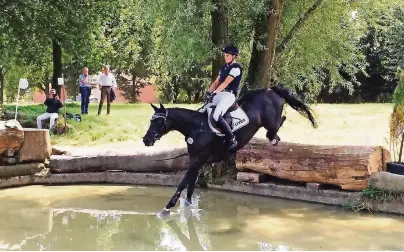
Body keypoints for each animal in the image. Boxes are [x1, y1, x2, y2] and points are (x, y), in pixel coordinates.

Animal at [143, 85, 318, 218]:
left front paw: (166, 209)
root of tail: (270, 89)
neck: (195, 128)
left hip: (270, 121)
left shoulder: (198, 160)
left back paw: (274, 137)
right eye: (151, 121)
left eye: (158, 121)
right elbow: (190, 185)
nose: (146, 140)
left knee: (278, 123)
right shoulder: (196, 161)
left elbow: (183, 183)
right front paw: (188, 207)